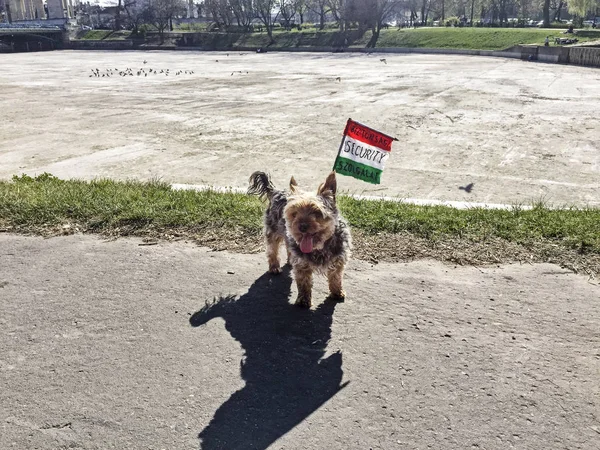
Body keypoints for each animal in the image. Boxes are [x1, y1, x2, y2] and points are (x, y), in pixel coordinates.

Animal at [248, 171, 352, 308]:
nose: (301, 227)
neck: (320, 246)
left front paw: (337, 292)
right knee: (272, 250)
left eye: (317, 212)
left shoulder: (338, 259)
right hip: (273, 231)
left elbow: (336, 277)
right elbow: (304, 282)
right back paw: (274, 267)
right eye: (295, 213)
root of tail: (276, 192)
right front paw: (303, 300)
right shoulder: (302, 263)